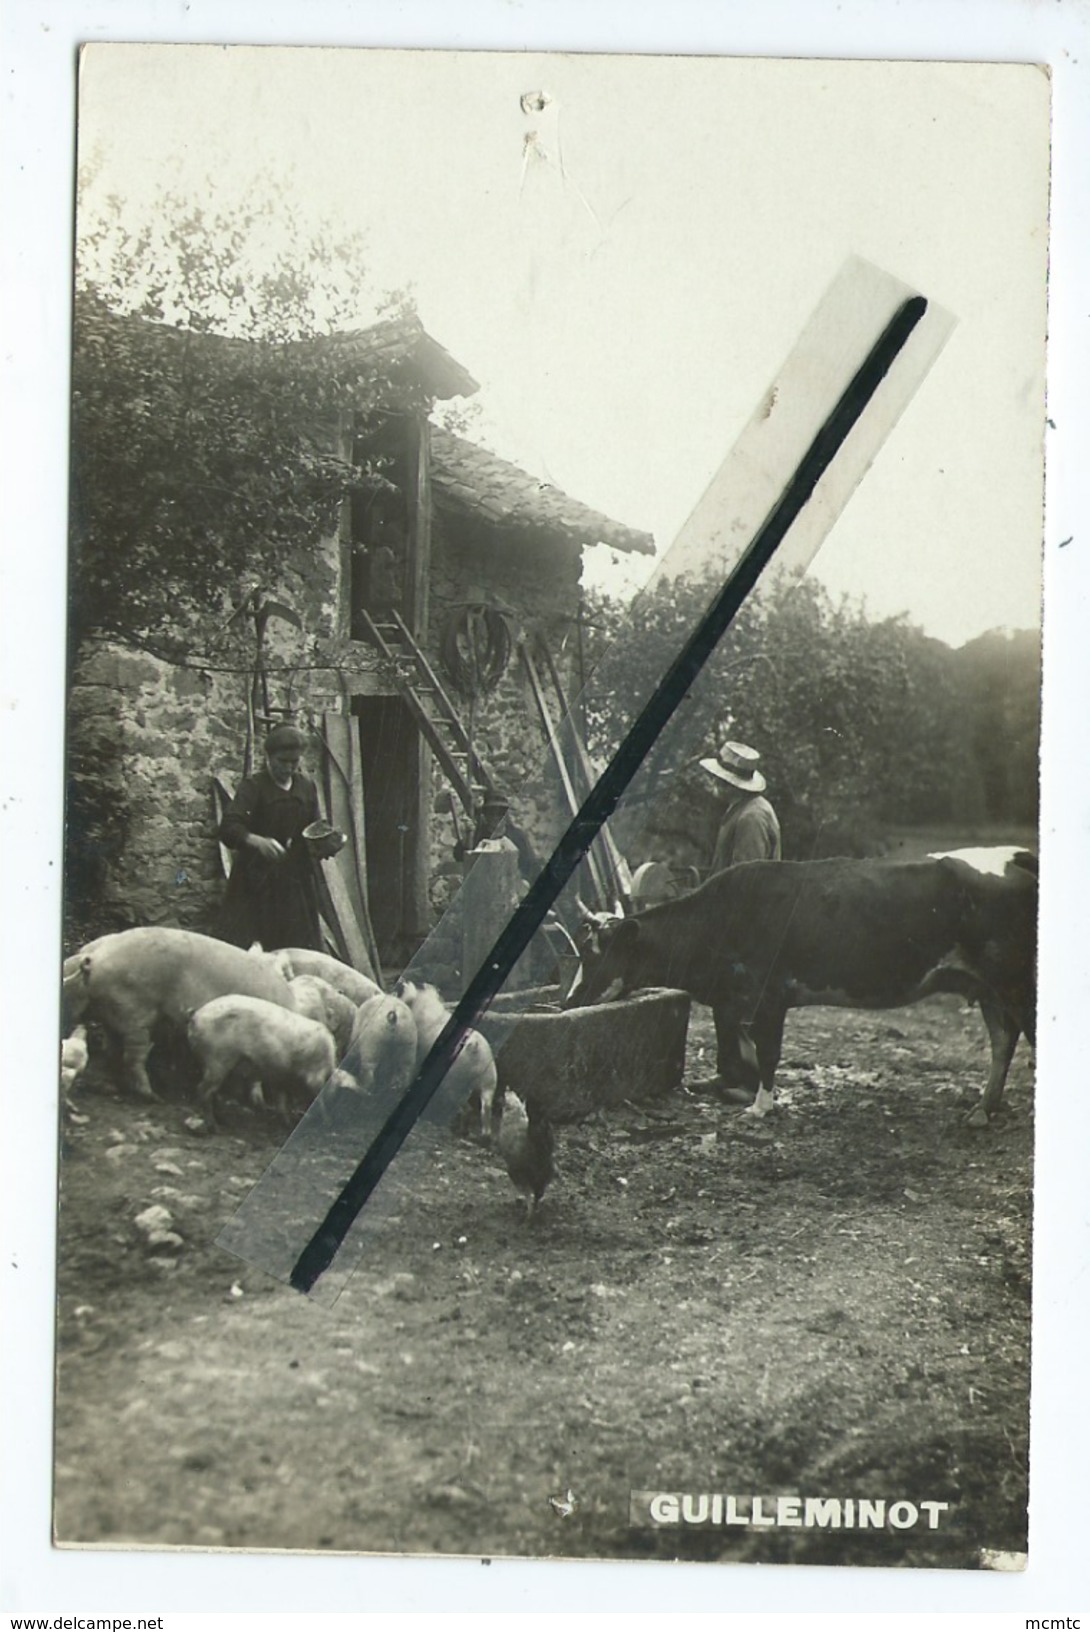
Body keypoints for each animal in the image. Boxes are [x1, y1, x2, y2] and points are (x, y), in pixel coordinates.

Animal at [66, 933, 300, 1096]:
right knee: (133, 1055)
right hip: (134, 1011)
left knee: (112, 1047)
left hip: (116, 1012)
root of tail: (94, 957)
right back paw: (151, 1096)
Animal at [186, 985, 354, 1129]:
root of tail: (196, 1017)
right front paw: (326, 1121)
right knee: (203, 1090)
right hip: (218, 1059)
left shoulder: (282, 1077)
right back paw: (214, 1126)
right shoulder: (313, 1076)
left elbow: (282, 1101)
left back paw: (222, 1120)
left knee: (211, 1091)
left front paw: (287, 1123)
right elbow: (317, 1100)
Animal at [567, 855, 1037, 1122]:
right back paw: (982, 1109)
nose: (569, 1001)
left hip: (1014, 980)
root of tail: (1016, 864)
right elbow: (745, 1047)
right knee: (1003, 1039)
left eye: (594, 954)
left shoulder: (769, 995)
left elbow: (768, 1052)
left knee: (1021, 1034)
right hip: (986, 986)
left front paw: (760, 1107)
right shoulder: (742, 1001)